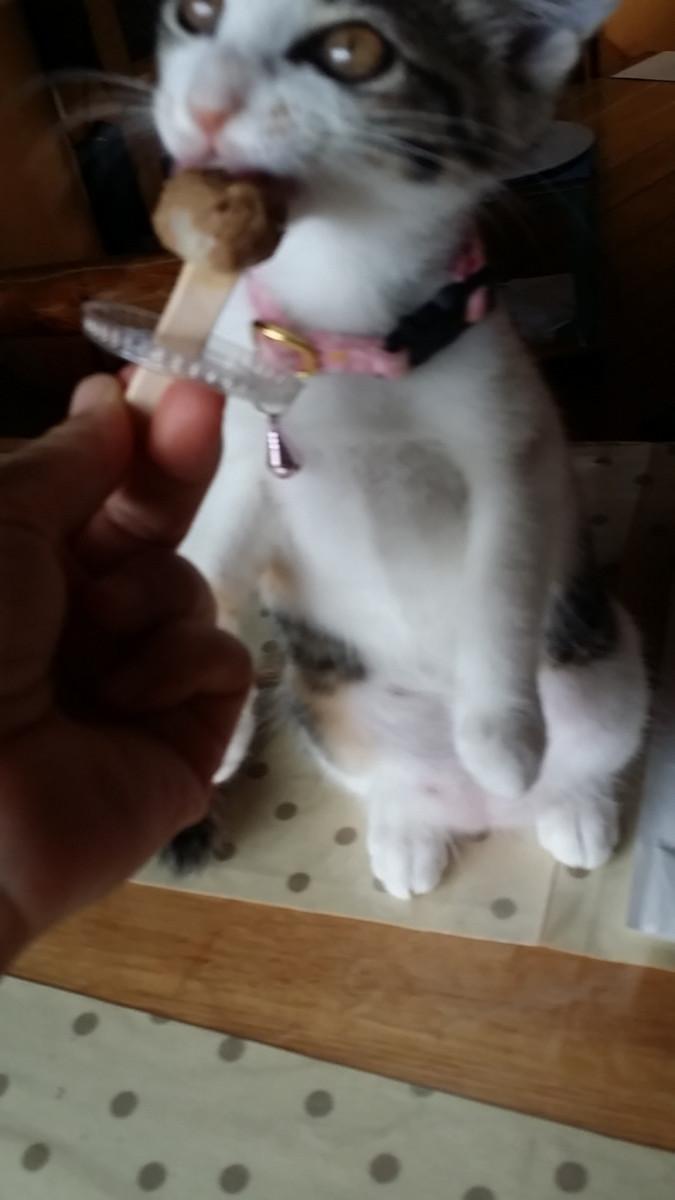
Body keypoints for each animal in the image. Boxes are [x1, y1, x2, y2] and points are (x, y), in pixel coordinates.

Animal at [154, 0, 647, 898]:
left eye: (351, 50)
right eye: (194, 14)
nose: (205, 106)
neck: (340, 338)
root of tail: (480, 813)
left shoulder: (512, 445)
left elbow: (502, 576)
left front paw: (501, 734)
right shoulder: (248, 460)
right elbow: (205, 557)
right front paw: (203, 710)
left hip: (608, 673)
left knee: (589, 746)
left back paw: (567, 805)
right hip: (326, 711)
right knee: (384, 777)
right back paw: (406, 828)